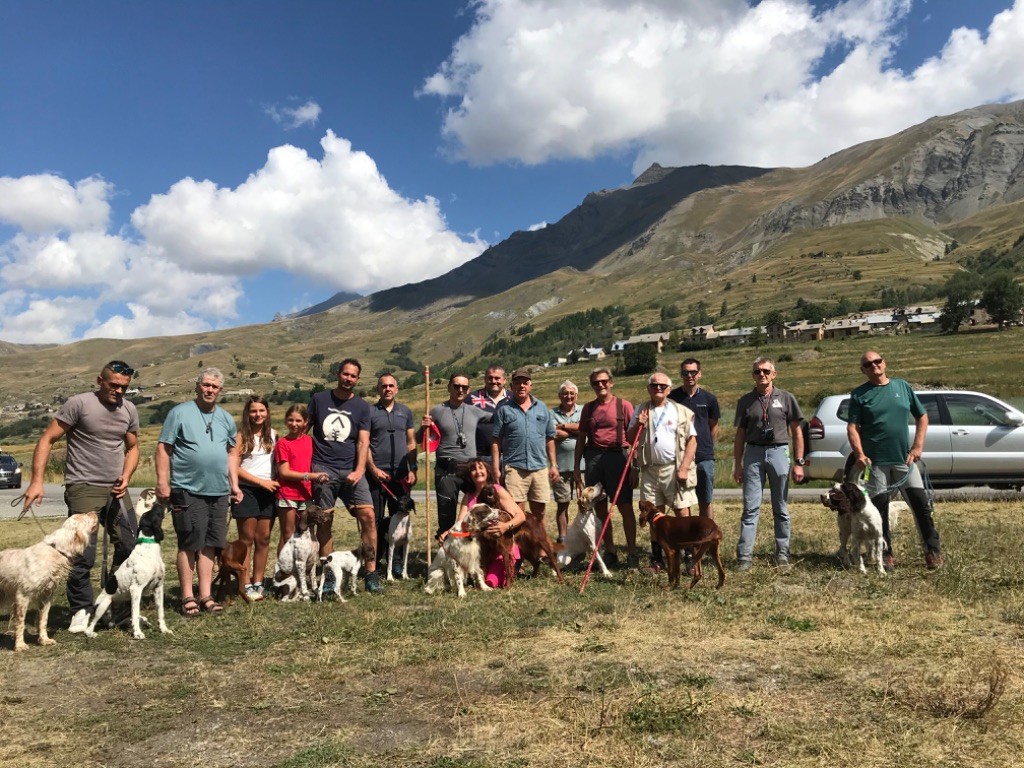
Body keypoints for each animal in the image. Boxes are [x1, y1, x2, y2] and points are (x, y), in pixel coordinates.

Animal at [0, 514, 96, 651]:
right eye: (84, 516)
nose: (94, 512)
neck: (57, 551)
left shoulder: (46, 596)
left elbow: (43, 620)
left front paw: (44, 640)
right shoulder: (22, 596)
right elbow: (20, 622)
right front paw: (20, 645)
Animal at [84, 489, 173, 638]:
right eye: (156, 512)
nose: (157, 503)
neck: (149, 549)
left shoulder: (158, 587)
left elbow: (160, 612)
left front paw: (164, 629)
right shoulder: (136, 589)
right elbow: (136, 613)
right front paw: (137, 633)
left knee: (118, 621)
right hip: (105, 604)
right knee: (91, 624)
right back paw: (91, 633)